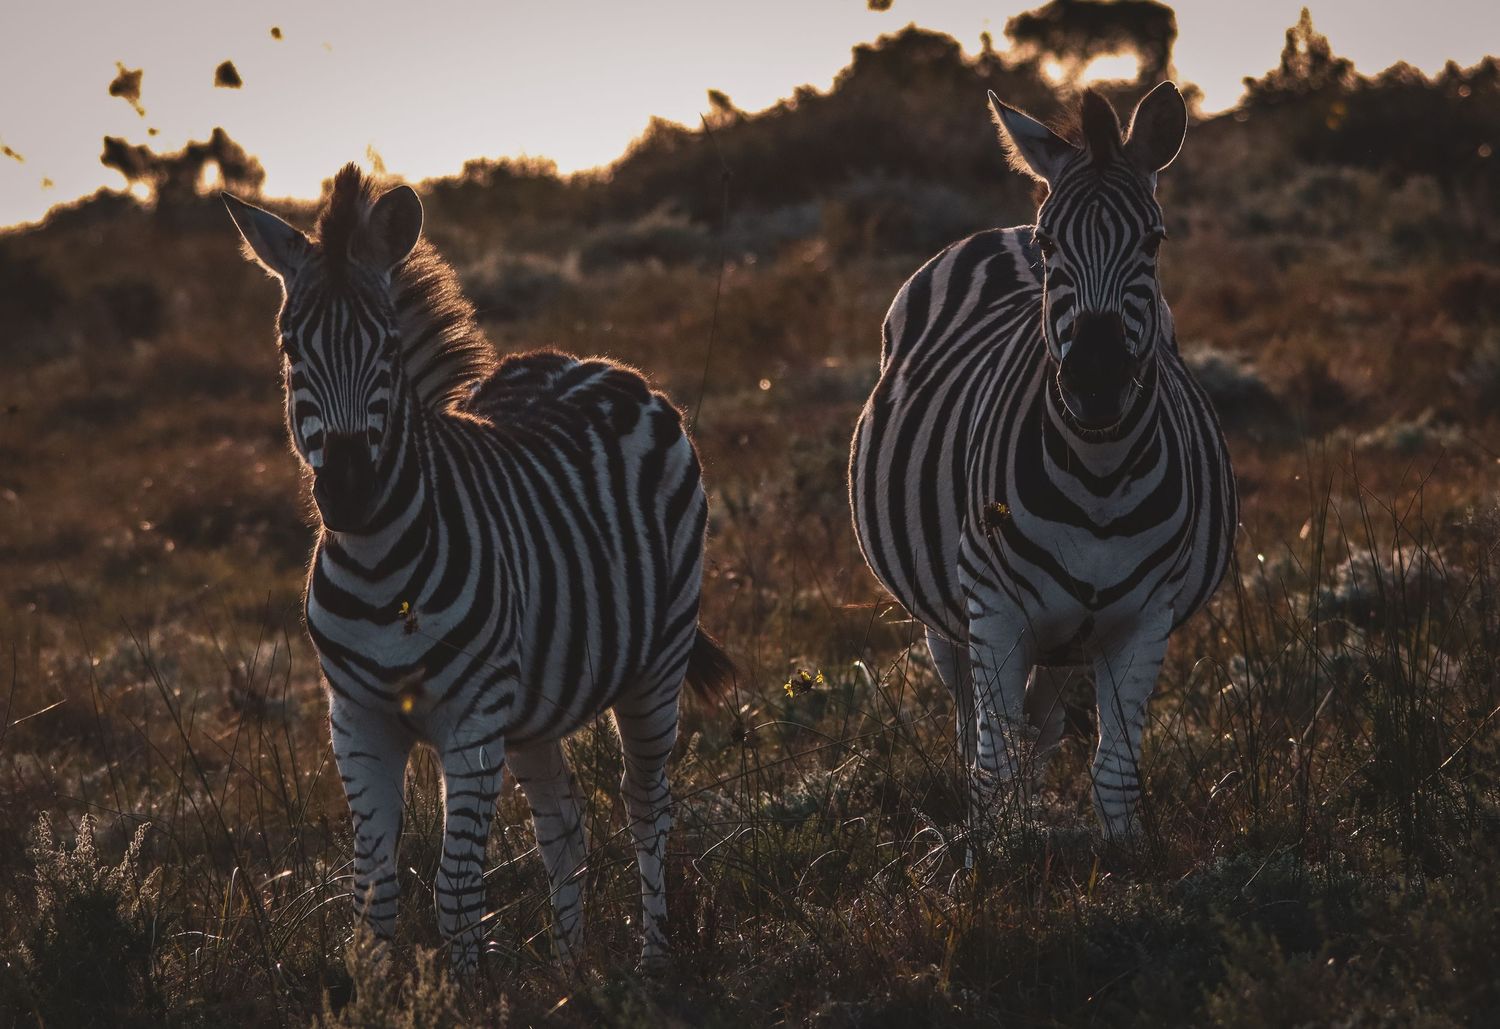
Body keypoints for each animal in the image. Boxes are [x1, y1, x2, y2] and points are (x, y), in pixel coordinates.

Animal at [223, 165, 731, 970]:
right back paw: (570, 972)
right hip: (536, 709)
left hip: (657, 664)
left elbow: (456, 896)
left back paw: (653, 962)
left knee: (647, 808)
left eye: (388, 348)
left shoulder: (473, 718)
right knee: (566, 827)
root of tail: (590, 363)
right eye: (289, 346)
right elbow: (375, 896)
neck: (377, 566)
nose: (349, 490)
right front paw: (381, 986)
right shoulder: (357, 721)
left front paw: (467, 986)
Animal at [849, 82, 1236, 841]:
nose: (1095, 380)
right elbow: (990, 769)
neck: (1100, 473)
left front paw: (1119, 860)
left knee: (1042, 722)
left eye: (1154, 241)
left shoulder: (1143, 621)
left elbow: (1113, 775)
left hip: (1064, 637)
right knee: (975, 726)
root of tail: (996, 234)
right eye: (1051, 242)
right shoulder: (994, 612)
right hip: (952, 622)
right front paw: (995, 860)